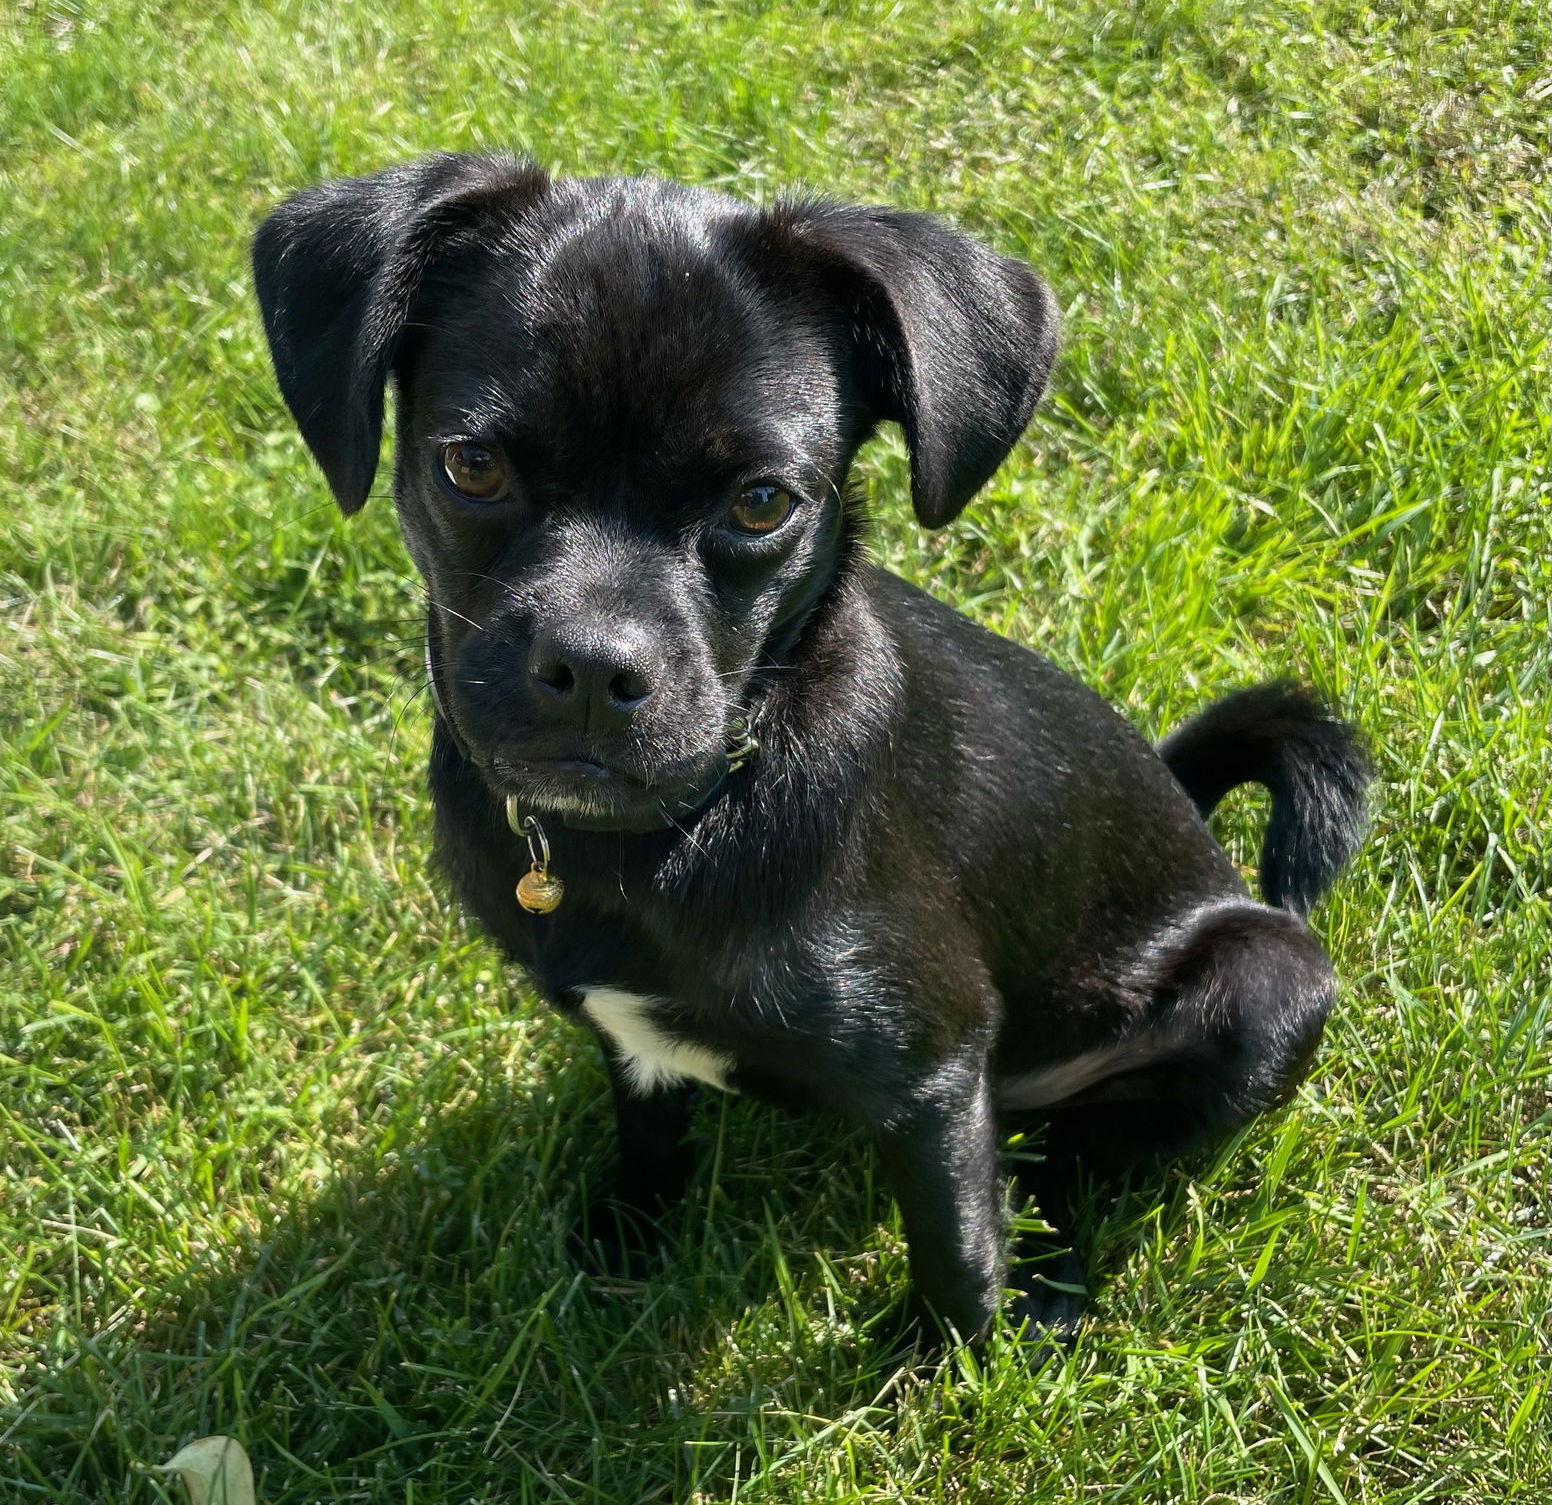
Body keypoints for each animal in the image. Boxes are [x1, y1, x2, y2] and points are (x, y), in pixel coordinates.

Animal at [248, 155, 1365, 1346]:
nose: (592, 667)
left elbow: (954, 1250)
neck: (670, 829)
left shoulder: (932, 1075)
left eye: (762, 502)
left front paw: (941, 1364)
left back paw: (1053, 1278)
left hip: (1262, 991)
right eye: (470, 465)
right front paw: (626, 1240)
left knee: (1078, 1158)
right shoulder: (632, 1038)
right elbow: (648, 1131)